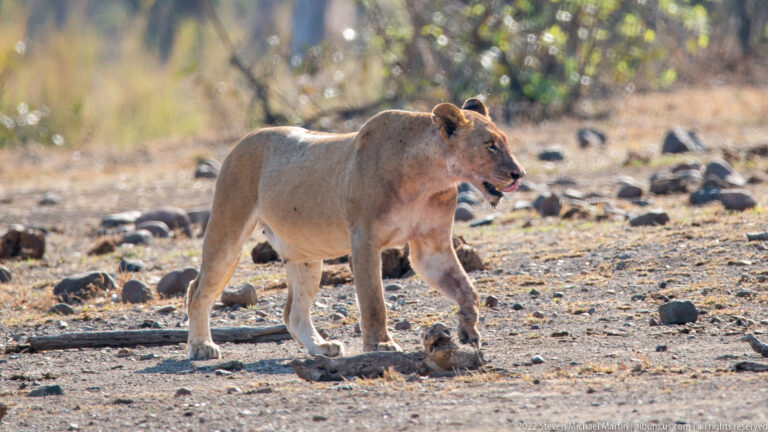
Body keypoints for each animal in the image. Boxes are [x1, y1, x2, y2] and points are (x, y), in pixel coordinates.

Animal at [185, 98, 525, 360]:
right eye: (491, 146)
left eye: (506, 142)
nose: (518, 173)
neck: (431, 177)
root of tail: (243, 140)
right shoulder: (364, 240)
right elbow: (374, 301)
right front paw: (381, 345)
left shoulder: (432, 247)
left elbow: (466, 288)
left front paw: (468, 329)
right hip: (228, 230)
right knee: (197, 289)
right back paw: (202, 347)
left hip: (305, 254)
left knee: (293, 312)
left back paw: (321, 348)